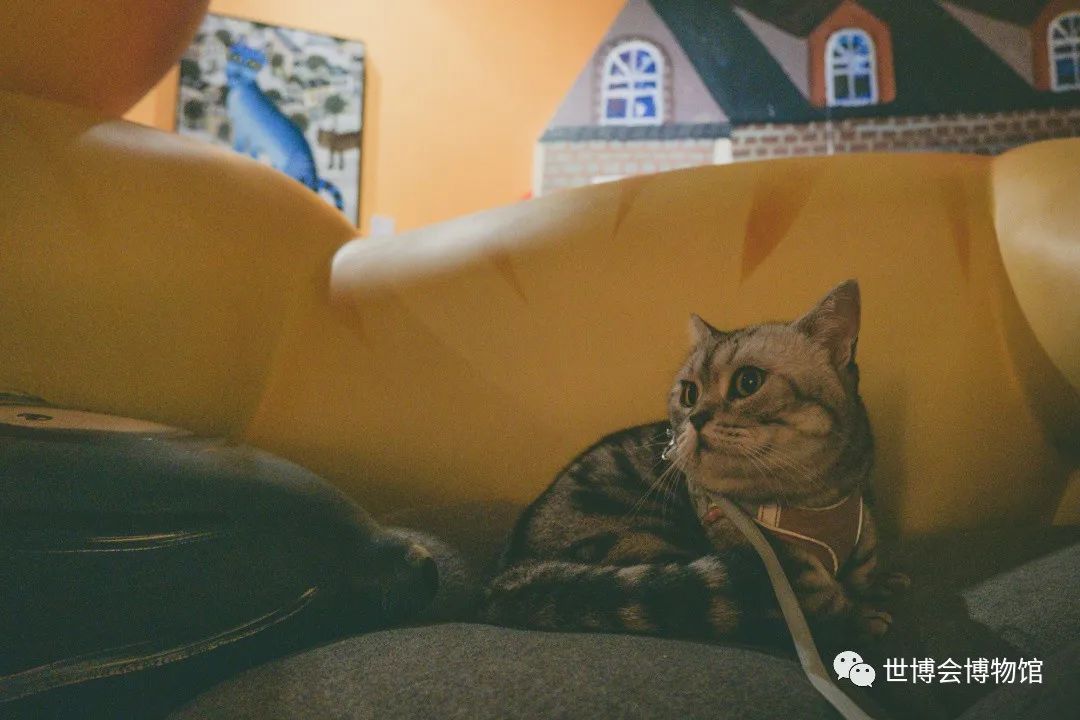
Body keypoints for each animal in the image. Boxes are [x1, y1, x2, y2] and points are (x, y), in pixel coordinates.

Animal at [225, 42, 344, 210]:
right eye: (235, 57)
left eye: (252, 64)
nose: (237, 72)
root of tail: (313, 173)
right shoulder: (254, 139)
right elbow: (251, 153)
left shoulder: (243, 131)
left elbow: (238, 148)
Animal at [485, 280, 907, 644]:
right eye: (689, 393)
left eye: (749, 382)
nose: (695, 417)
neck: (820, 499)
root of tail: (508, 574)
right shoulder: (783, 567)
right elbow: (826, 602)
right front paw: (859, 617)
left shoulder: (861, 528)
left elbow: (865, 566)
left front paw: (880, 585)